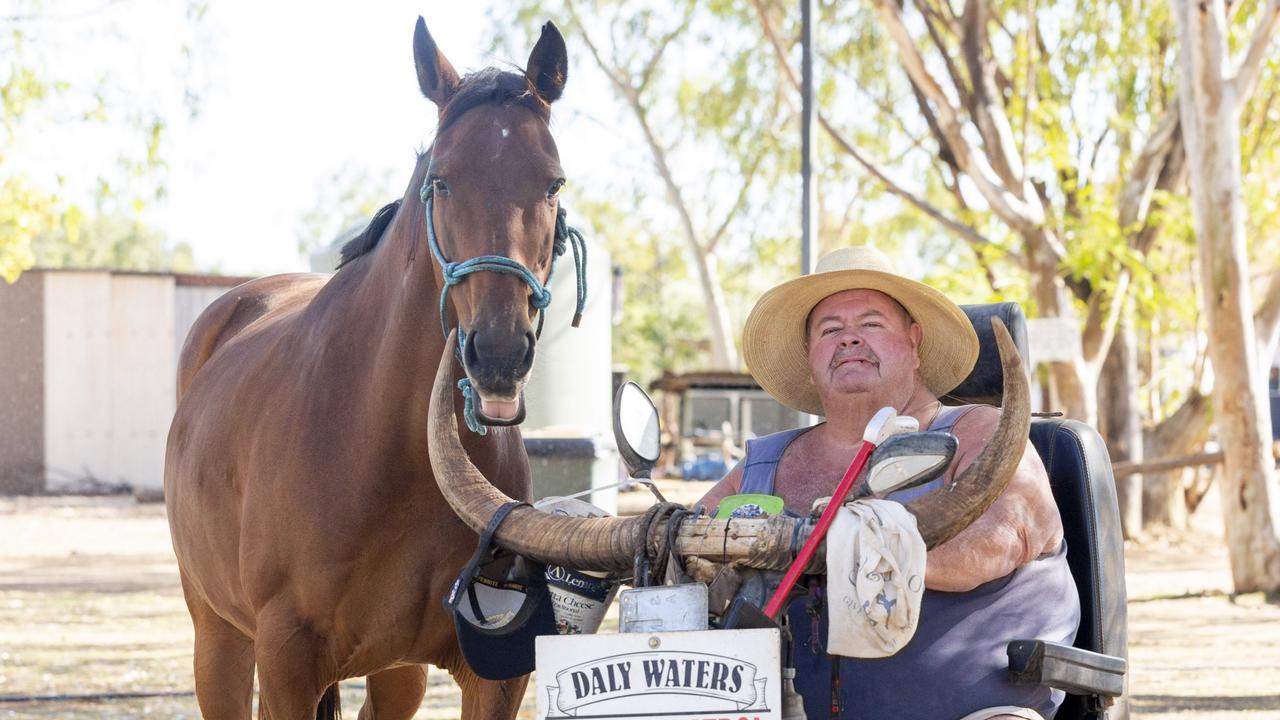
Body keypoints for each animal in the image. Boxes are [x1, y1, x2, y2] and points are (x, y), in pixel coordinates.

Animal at [163, 16, 570, 717]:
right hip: (219, 638)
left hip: (396, 673)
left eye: (553, 183)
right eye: (442, 179)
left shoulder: (494, 675)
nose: (497, 351)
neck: (386, 445)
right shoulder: (288, 660)